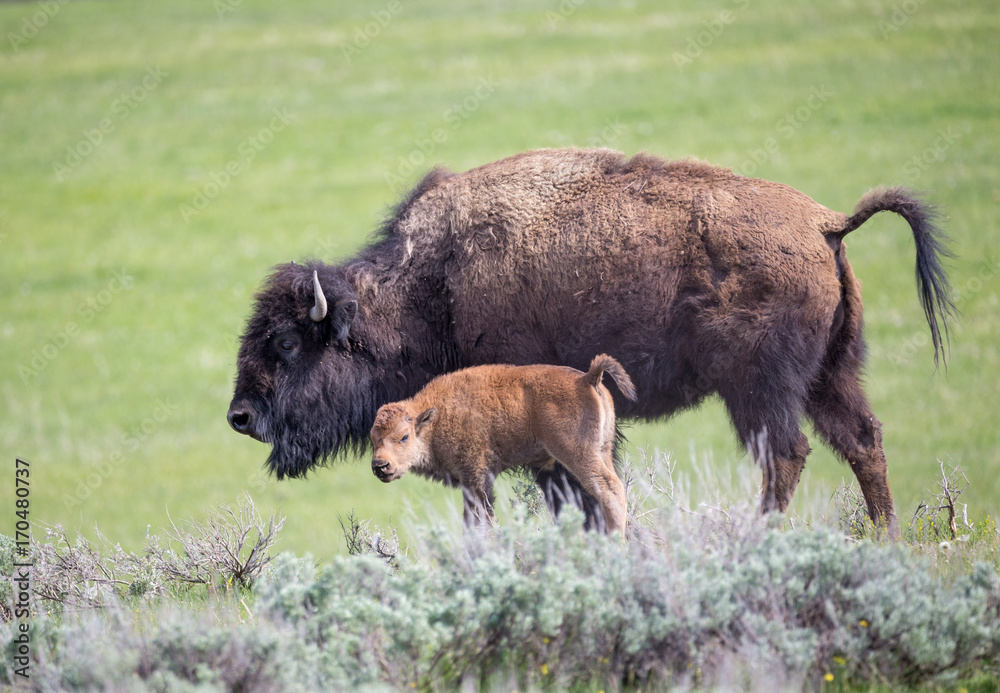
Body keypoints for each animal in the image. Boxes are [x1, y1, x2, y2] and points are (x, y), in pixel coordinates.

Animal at [228, 148, 954, 536]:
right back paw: (887, 537)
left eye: (287, 343)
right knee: (861, 440)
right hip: (832, 374)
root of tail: (825, 222)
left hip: (760, 388)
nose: (239, 415)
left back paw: (764, 534)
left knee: (788, 452)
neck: (431, 283)